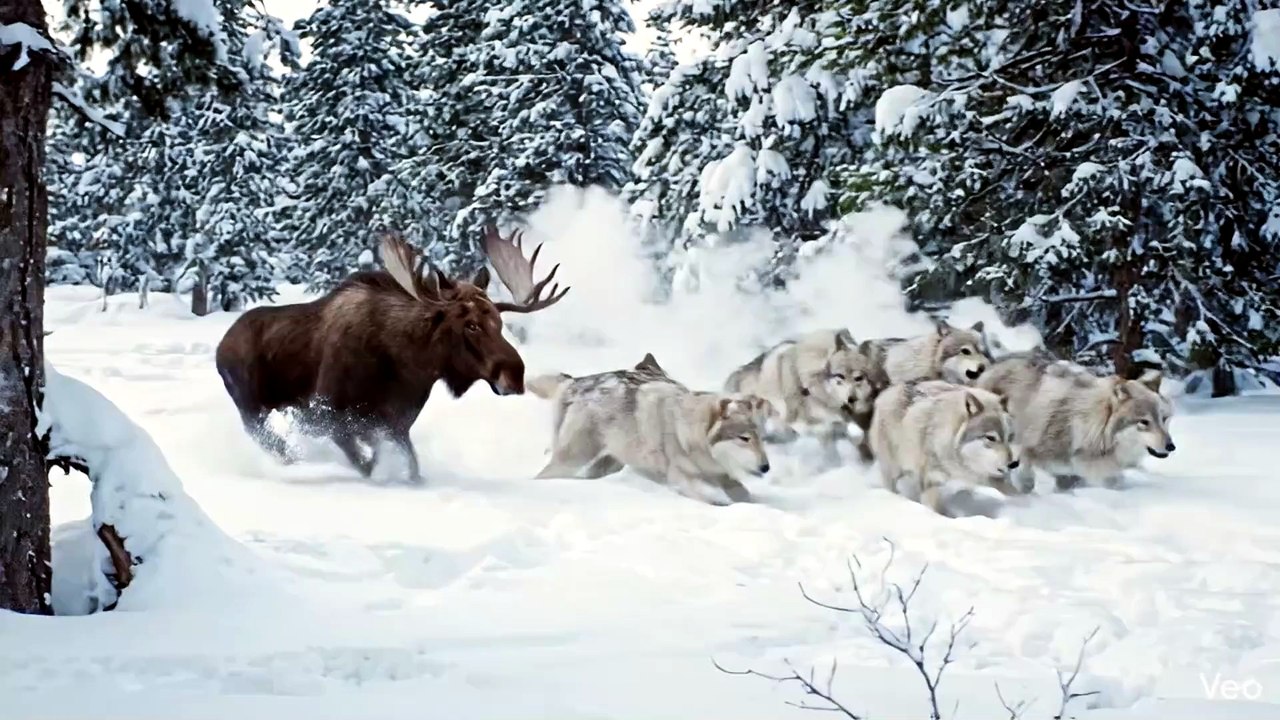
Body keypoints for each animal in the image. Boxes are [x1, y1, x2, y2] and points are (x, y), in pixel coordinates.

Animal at [528, 354, 774, 505]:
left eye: (761, 438)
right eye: (744, 438)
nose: (766, 467)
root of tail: (573, 382)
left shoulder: (723, 476)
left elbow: (745, 496)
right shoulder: (684, 478)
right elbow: (720, 501)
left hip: (608, 463)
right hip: (572, 460)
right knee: (541, 476)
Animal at [868, 380, 1021, 517]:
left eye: (1010, 437)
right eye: (990, 438)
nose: (1014, 464)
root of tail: (890, 389)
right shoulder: (930, 482)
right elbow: (937, 512)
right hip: (894, 470)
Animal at [976, 351, 1175, 491]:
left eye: (1164, 419)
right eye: (1144, 422)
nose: (1171, 446)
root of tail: (996, 363)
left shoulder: (1072, 475)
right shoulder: (1028, 452)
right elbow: (1026, 480)